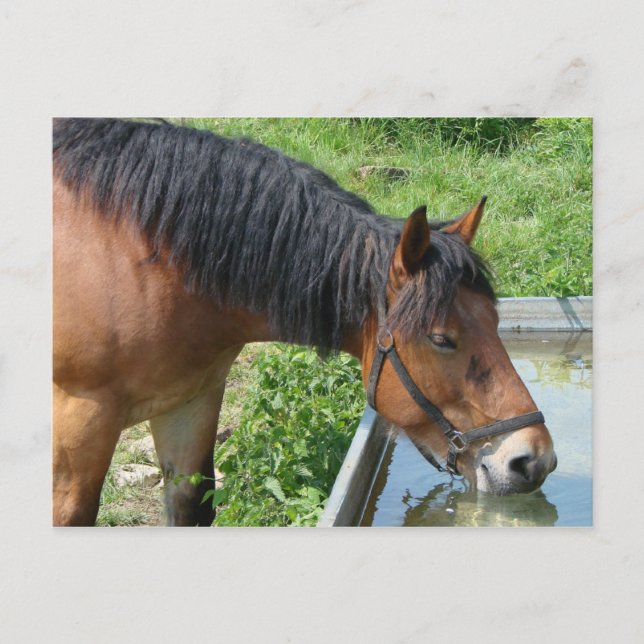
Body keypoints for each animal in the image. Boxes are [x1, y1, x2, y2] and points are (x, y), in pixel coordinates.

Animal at [52, 118, 557, 526]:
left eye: (496, 319)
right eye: (440, 338)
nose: (533, 460)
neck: (142, 256)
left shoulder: (190, 402)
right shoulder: (81, 420)